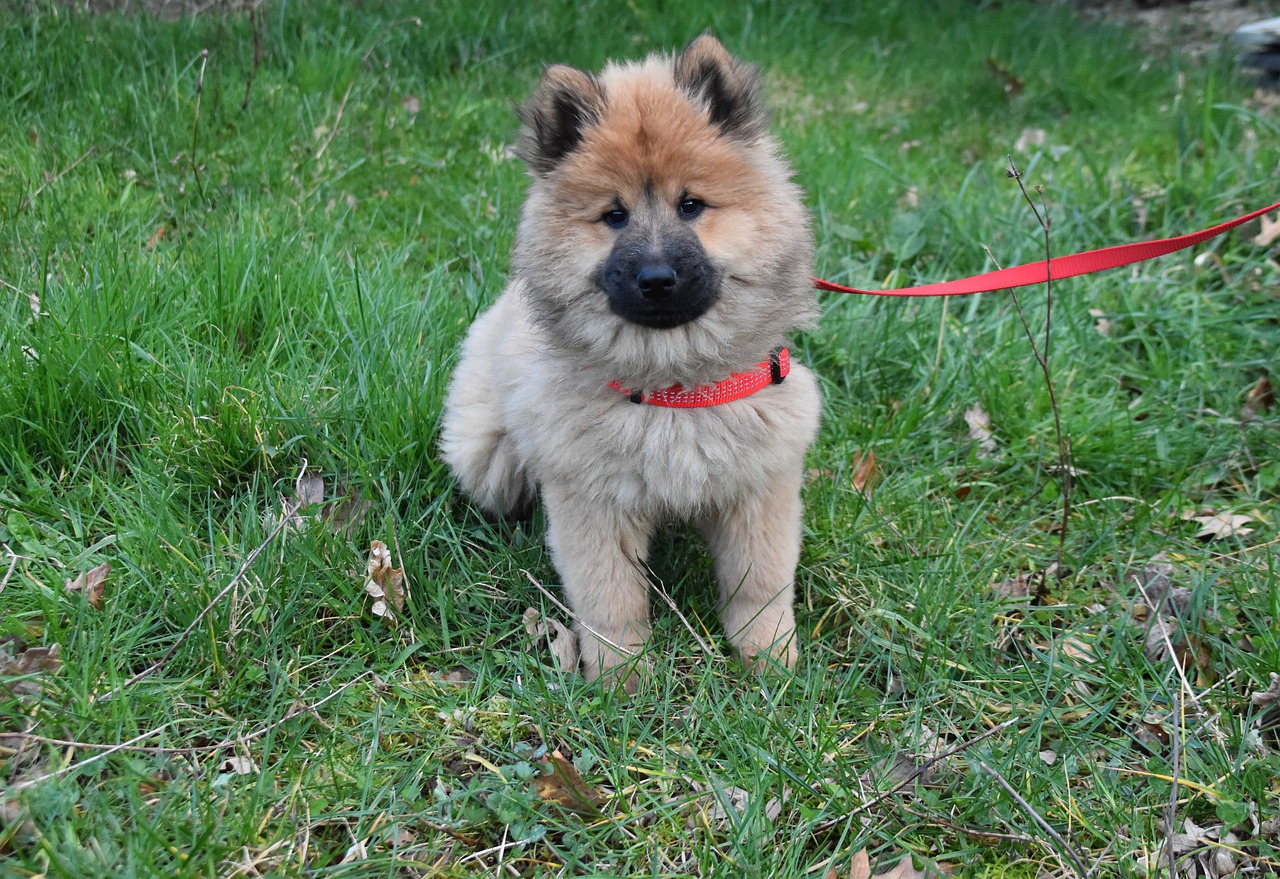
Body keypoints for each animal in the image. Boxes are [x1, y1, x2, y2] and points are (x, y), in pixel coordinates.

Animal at [440, 32, 819, 696]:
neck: (674, 388)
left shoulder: (759, 485)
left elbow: (761, 587)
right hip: (484, 453)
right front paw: (624, 682)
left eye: (691, 205)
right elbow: (611, 599)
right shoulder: (592, 503)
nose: (657, 278)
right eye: (613, 216)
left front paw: (769, 664)